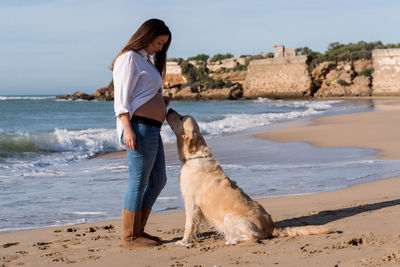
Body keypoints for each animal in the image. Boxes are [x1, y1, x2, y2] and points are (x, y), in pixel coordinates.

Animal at [166, 109, 334, 247]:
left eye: (181, 118)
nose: (169, 109)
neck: (195, 156)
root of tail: (271, 226)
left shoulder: (191, 203)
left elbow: (189, 225)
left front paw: (183, 241)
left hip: (230, 218)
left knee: (255, 237)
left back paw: (232, 240)